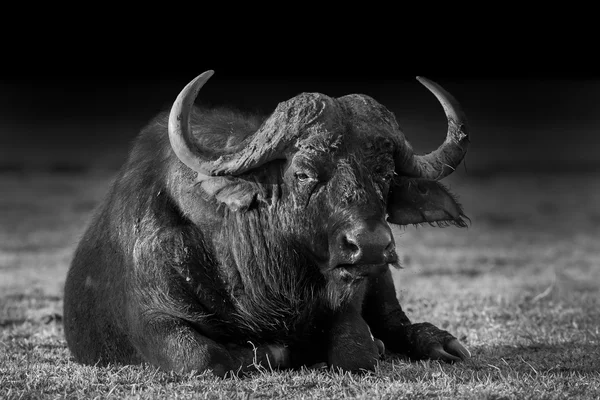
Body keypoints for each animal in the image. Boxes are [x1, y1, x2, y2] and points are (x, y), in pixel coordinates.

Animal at [63, 71, 472, 376]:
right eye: (304, 173)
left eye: (385, 174)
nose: (370, 244)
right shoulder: (152, 316)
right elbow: (203, 358)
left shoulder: (350, 297)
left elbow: (357, 351)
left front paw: (370, 345)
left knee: (395, 320)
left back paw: (442, 343)